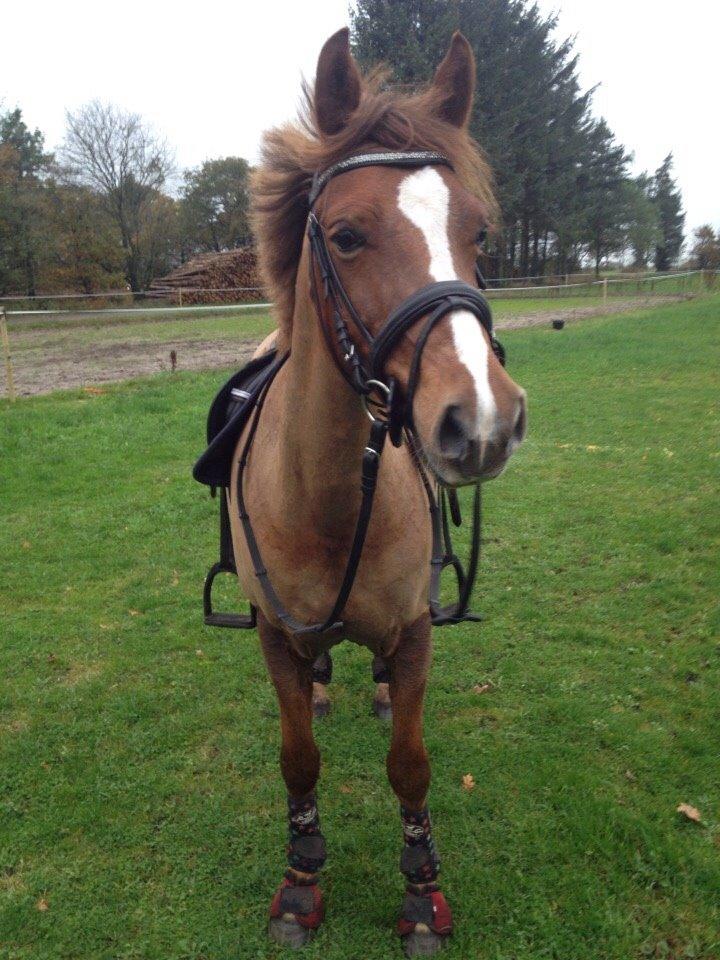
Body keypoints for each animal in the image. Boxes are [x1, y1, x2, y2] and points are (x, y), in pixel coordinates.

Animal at [226, 28, 527, 955]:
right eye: (348, 235)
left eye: (477, 230)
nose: (483, 419)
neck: (328, 498)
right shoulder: (274, 638)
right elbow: (297, 759)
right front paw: (301, 881)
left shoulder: (416, 631)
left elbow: (410, 766)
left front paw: (422, 893)